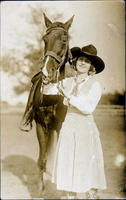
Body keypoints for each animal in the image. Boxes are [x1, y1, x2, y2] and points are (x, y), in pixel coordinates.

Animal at [20, 13, 74, 191]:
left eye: (64, 39)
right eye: (45, 39)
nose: (46, 71)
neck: (53, 95)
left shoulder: (61, 127)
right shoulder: (41, 125)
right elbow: (42, 160)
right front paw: (40, 188)